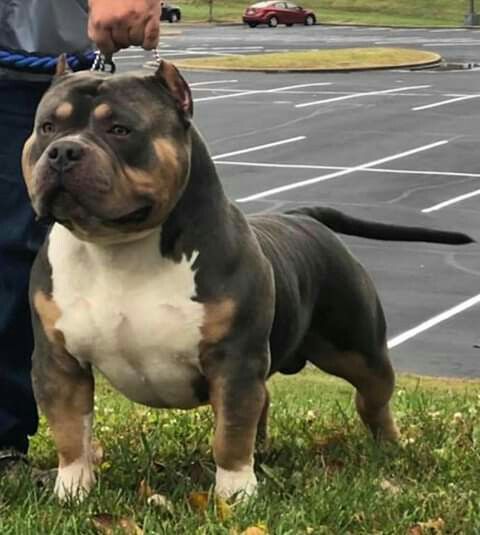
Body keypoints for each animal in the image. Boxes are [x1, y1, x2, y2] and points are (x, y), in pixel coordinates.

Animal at [21, 58, 472, 502]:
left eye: (120, 129)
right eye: (47, 127)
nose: (63, 152)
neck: (118, 249)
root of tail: (302, 216)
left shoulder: (234, 359)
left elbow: (231, 432)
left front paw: (235, 493)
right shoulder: (59, 363)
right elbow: (71, 431)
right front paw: (72, 490)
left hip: (359, 351)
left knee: (372, 399)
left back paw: (388, 448)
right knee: (268, 399)